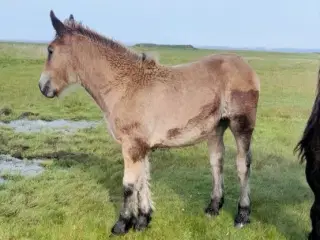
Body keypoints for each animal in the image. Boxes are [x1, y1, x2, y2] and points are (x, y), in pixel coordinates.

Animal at [38, 10, 262, 234]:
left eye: (50, 50)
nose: (43, 87)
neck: (125, 85)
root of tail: (246, 66)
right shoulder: (142, 146)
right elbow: (143, 179)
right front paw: (143, 220)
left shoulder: (131, 145)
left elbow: (129, 184)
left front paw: (122, 224)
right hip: (216, 128)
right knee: (217, 161)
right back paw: (214, 207)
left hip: (241, 125)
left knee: (243, 164)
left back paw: (242, 214)